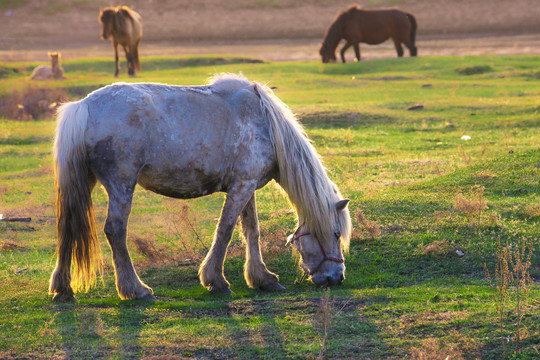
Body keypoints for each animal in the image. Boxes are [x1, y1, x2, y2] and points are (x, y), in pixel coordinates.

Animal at [48, 74, 352, 302]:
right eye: (336, 234)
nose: (337, 278)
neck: (264, 122)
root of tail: (83, 106)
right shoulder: (241, 187)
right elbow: (226, 230)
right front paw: (216, 280)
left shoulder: (247, 186)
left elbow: (251, 230)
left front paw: (262, 278)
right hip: (122, 185)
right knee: (115, 231)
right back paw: (136, 289)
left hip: (84, 183)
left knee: (68, 229)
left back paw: (63, 289)